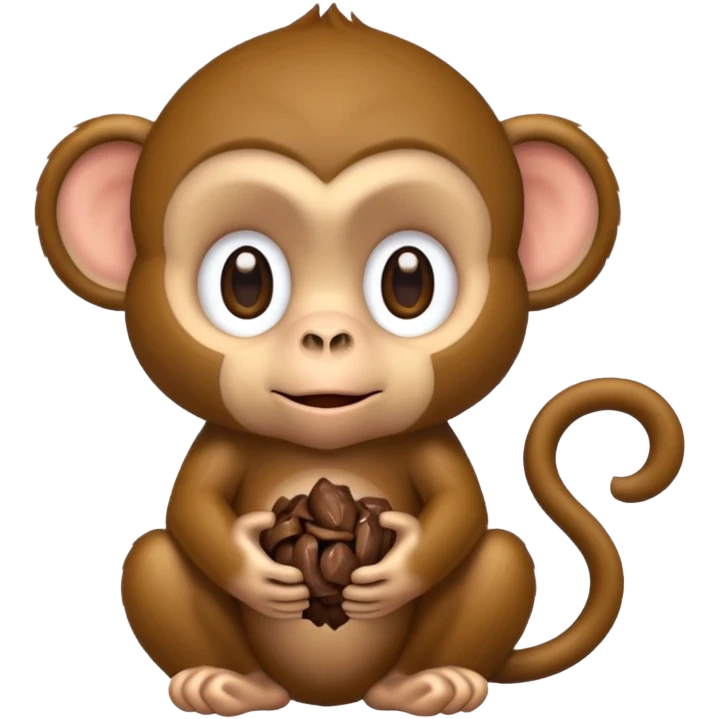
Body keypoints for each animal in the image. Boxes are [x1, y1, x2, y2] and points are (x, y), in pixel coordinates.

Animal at [33, 5, 686, 717]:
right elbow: (191, 510)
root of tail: (330, 694)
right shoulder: (223, 443)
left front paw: (392, 571)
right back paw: (222, 682)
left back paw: (435, 682)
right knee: (152, 556)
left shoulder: (428, 443)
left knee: (502, 557)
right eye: (244, 281)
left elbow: (461, 509)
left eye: (409, 281)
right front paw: (259, 571)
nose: (326, 336)